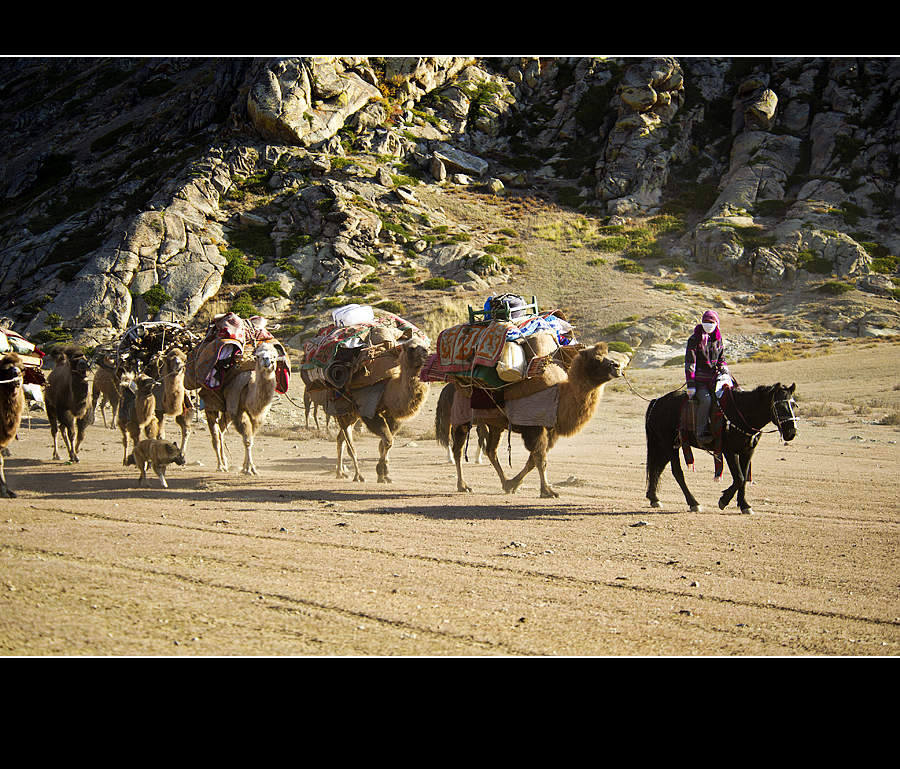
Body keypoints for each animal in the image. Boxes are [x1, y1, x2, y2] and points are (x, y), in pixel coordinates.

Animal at [336, 340, 430, 484]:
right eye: (412, 348)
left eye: (426, 344)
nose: (426, 351)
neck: (388, 391)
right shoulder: (369, 411)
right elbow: (388, 441)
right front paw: (381, 473)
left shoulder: (392, 416)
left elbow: (383, 444)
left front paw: (385, 474)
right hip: (343, 410)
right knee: (349, 444)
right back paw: (358, 476)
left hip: (352, 414)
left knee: (340, 438)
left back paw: (340, 473)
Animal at [440, 342, 628, 498]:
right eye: (597, 358)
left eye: (608, 354)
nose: (617, 366)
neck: (559, 396)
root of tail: (450, 386)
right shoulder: (534, 428)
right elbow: (540, 459)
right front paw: (548, 491)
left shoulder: (549, 431)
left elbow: (533, 460)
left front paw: (514, 484)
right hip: (461, 419)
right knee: (458, 450)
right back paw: (463, 486)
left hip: (494, 424)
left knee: (491, 450)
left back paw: (504, 482)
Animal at [644, 380, 800, 512]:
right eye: (779, 406)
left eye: (793, 405)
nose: (791, 432)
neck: (742, 412)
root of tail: (657, 402)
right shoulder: (729, 451)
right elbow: (739, 477)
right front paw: (724, 500)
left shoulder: (748, 451)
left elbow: (743, 478)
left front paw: (744, 505)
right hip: (668, 444)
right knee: (676, 472)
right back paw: (693, 503)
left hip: (668, 445)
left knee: (657, 468)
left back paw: (654, 498)